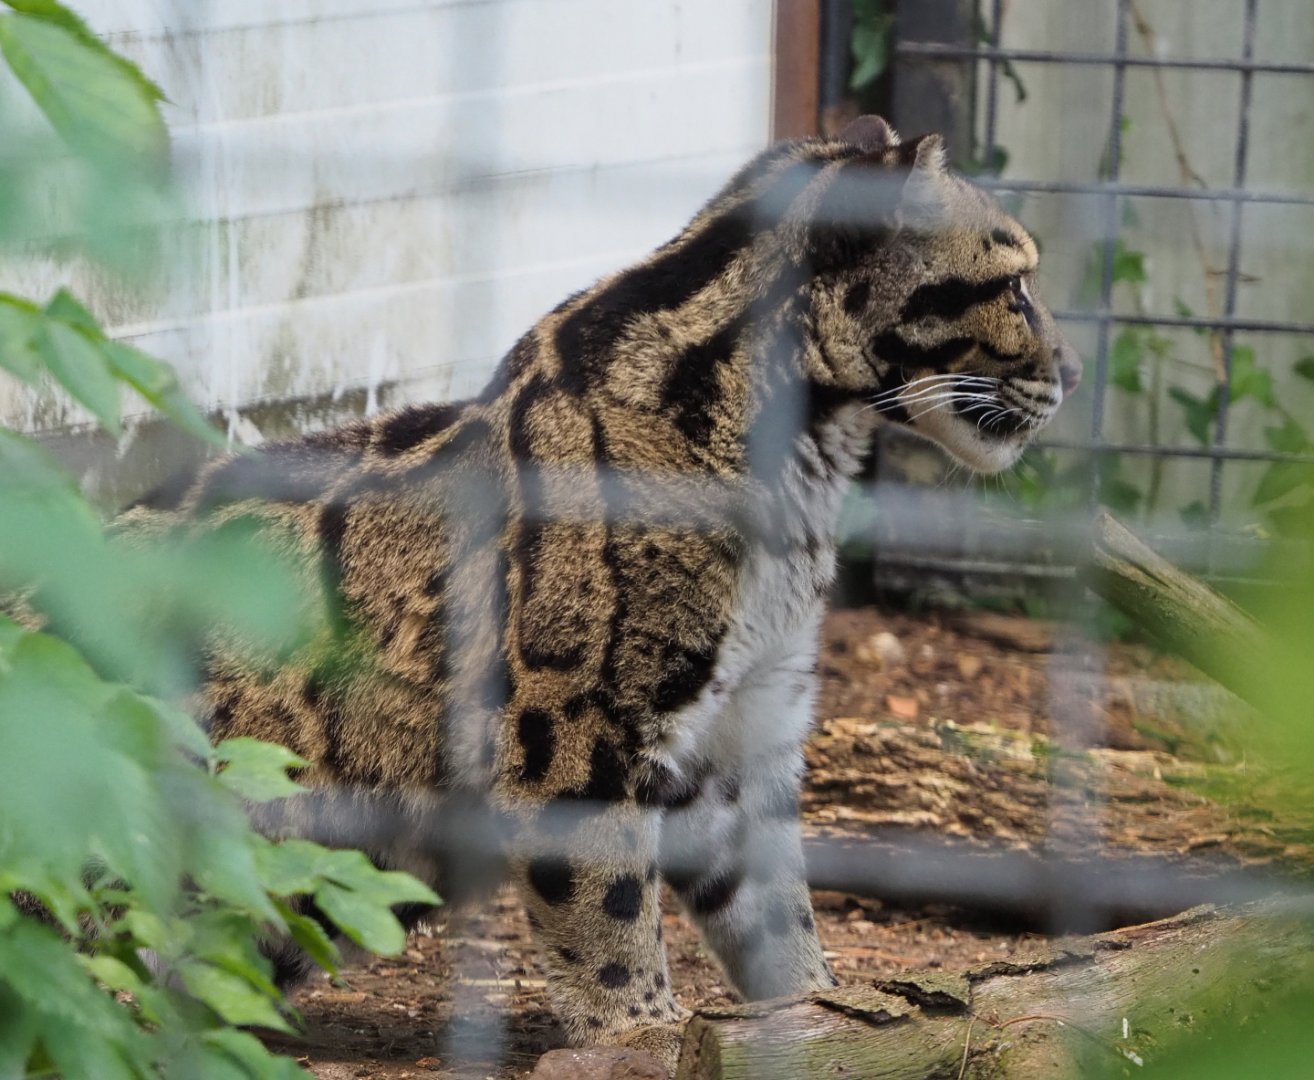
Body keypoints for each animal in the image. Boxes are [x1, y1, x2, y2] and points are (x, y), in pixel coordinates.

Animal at [123, 114, 1080, 1067]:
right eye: (1015, 286)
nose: (1073, 373)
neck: (802, 467)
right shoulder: (574, 727)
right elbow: (609, 907)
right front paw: (642, 1036)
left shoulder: (747, 730)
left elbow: (778, 914)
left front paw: (822, 1014)